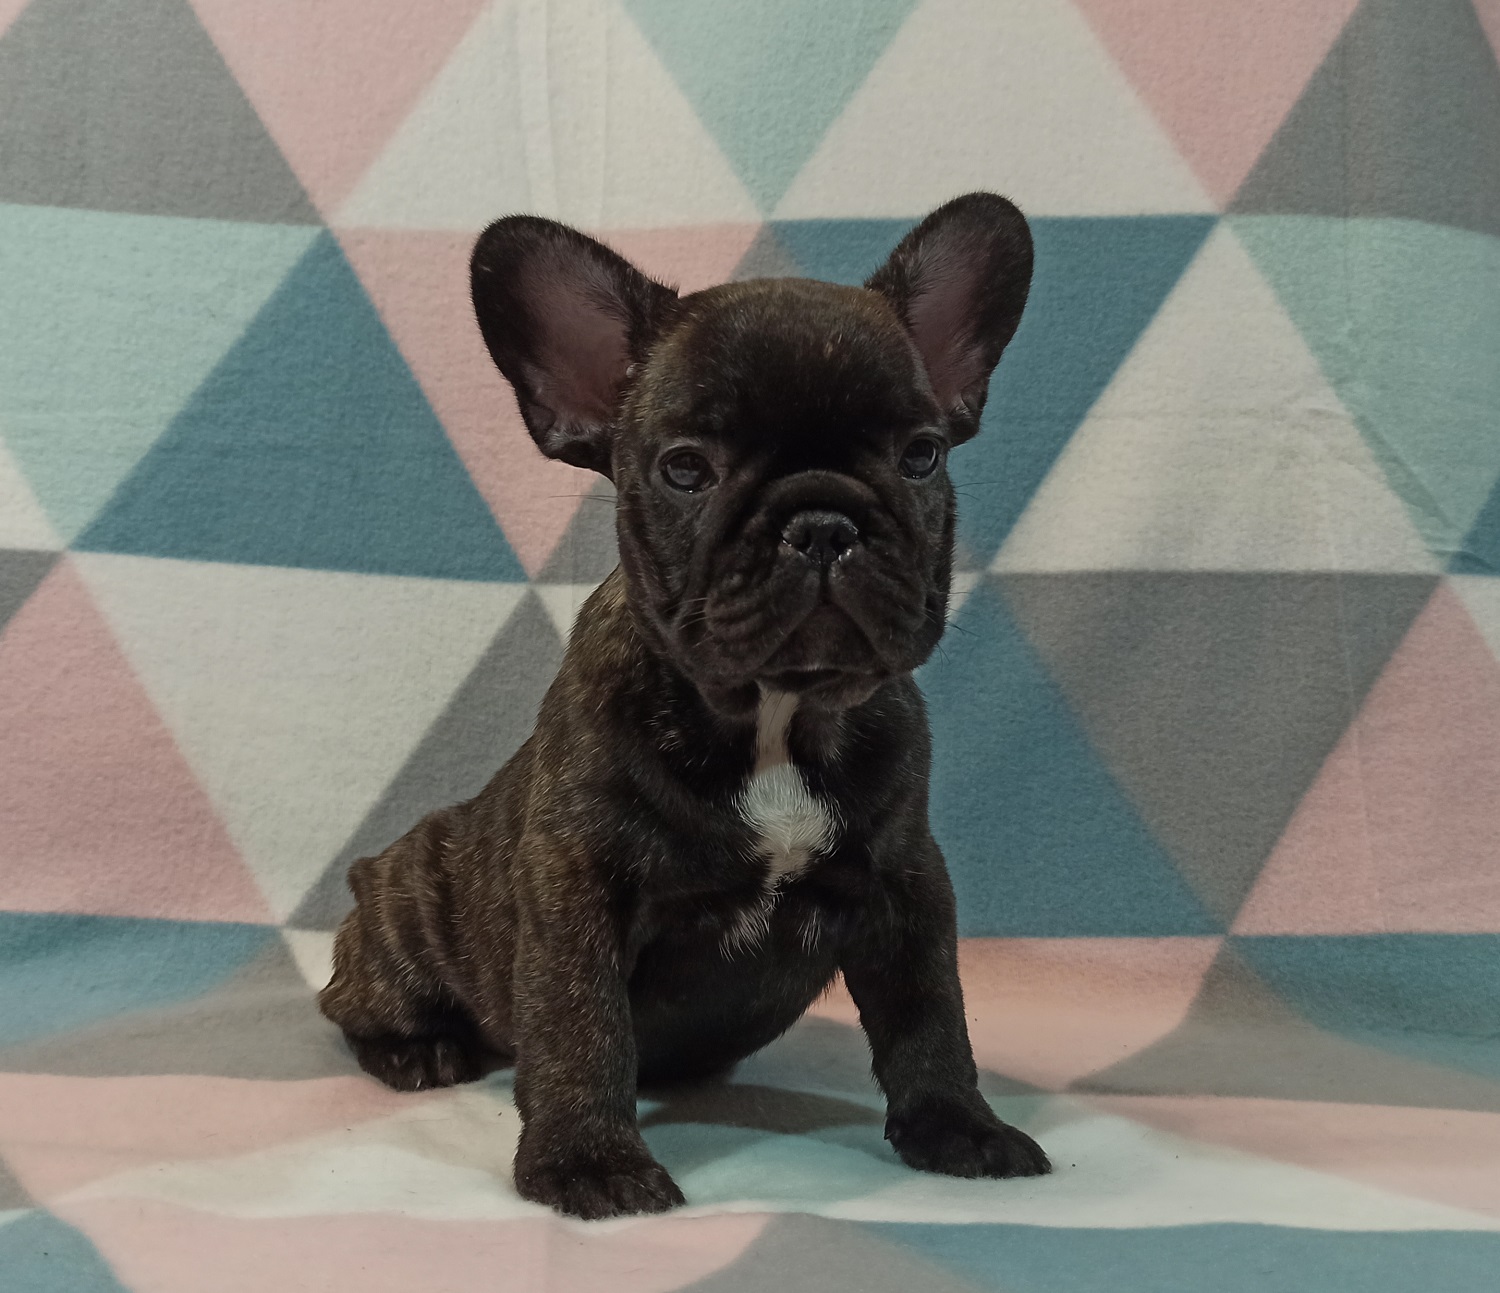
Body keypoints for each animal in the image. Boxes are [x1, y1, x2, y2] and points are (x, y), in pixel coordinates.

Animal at [318, 193, 1049, 1220]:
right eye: (686, 470)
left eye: (923, 455)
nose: (822, 523)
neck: (776, 714)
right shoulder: (576, 882)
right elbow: (580, 1023)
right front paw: (589, 1161)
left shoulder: (906, 881)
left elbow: (931, 1013)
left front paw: (959, 1127)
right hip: (408, 911)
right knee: (354, 1003)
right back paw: (419, 1048)